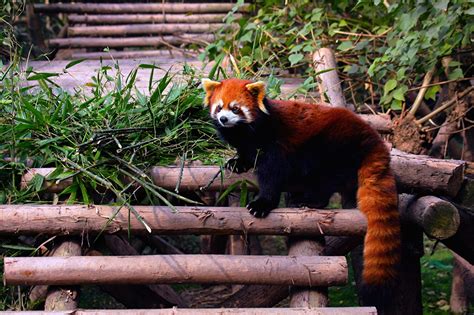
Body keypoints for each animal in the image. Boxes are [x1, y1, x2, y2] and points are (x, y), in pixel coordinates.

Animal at [202, 77, 402, 298]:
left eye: (235, 108)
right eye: (219, 107)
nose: (223, 119)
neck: (247, 131)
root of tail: (372, 137)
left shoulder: (276, 142)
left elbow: (272, 174)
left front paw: (262, 203)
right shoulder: (246, 143)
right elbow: (246, 154)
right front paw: (237, 163)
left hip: (331, 146)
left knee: (325, 179)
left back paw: (310, 200)